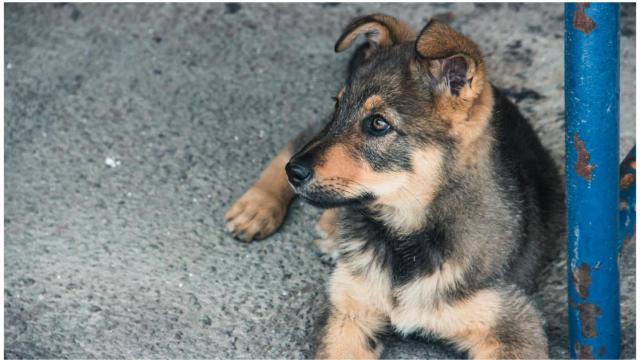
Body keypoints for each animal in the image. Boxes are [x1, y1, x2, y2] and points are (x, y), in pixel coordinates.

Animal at [222, 13, 564, 358]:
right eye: (338, 105)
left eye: (378, 123)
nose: (294, 172)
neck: (405, 235)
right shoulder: (349, 311)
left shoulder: (511, 322)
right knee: (298, 139)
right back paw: (258, 208)